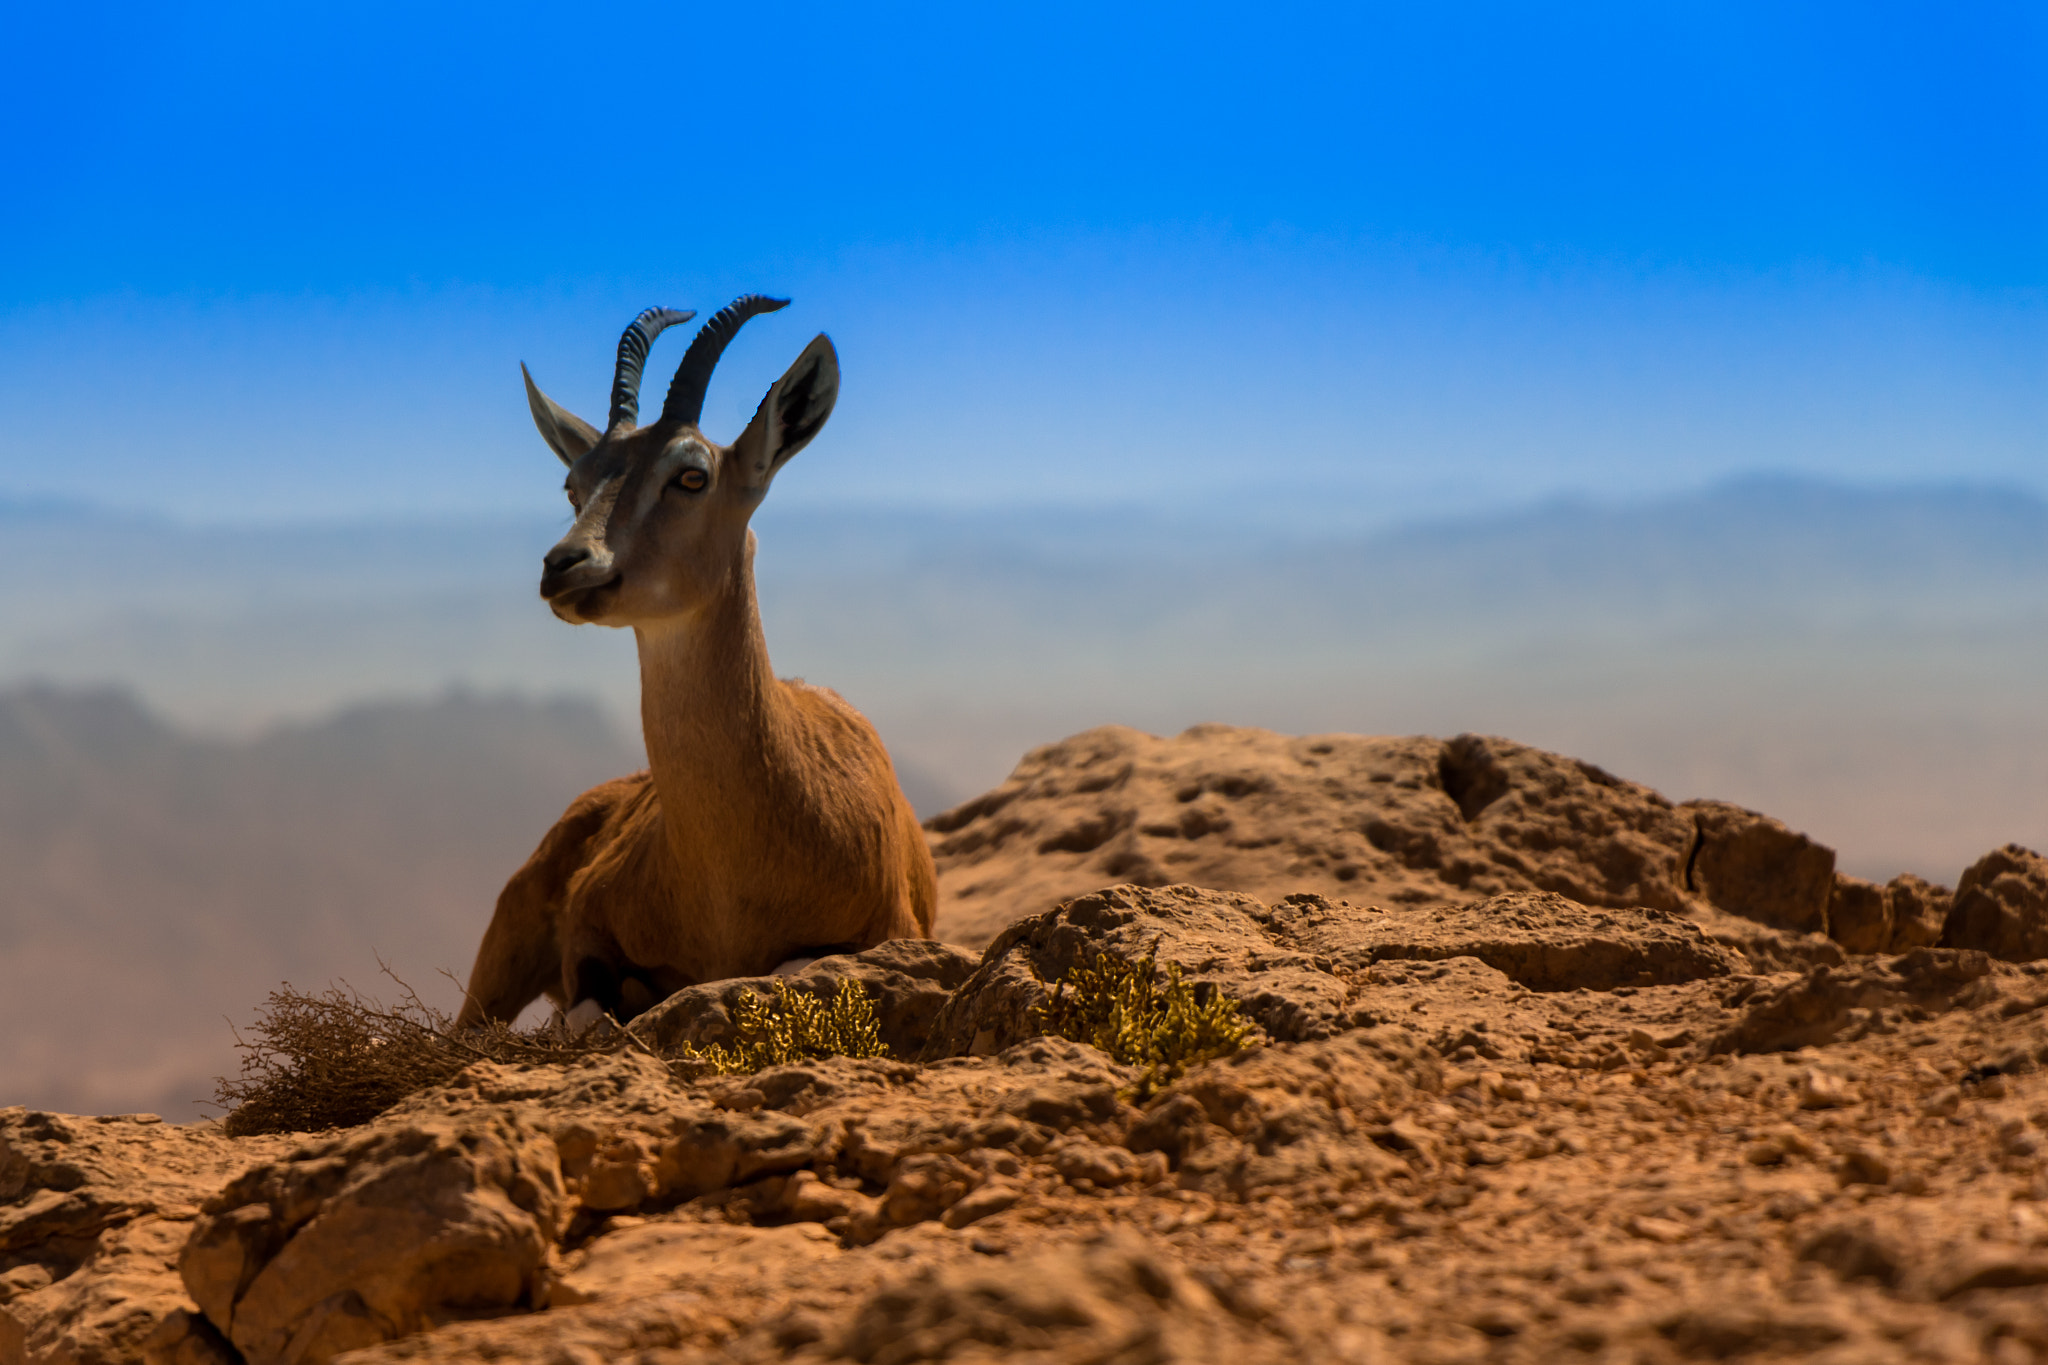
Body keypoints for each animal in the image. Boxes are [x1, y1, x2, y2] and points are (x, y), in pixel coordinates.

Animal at [454, 296, 937, 1031]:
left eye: (691, 475)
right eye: (574, 485)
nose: (565, 565)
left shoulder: (885, 932)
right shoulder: (587, 929)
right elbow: (591, 1002)